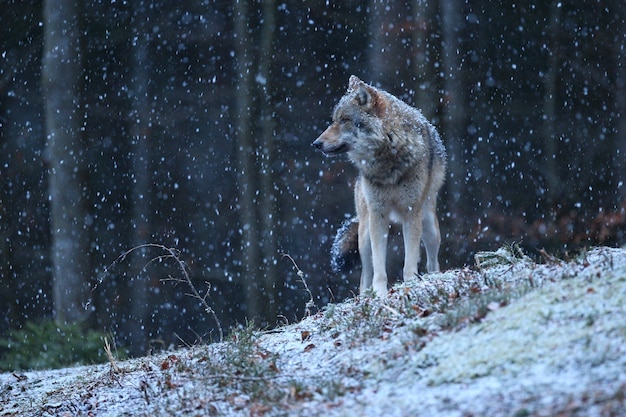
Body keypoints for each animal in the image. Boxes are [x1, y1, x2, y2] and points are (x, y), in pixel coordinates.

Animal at [310, 75, 444, 296]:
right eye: (334, 120)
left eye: (344, 120)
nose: (316, 144)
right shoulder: (378, 215)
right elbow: (379, 266)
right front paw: (380, 293)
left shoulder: (411, 213)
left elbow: (409, 262)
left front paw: (410, 284)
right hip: (364, 234)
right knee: (365, 274)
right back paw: (366, 294)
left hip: (429, 227)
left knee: (432, 261)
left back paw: (434, 277)